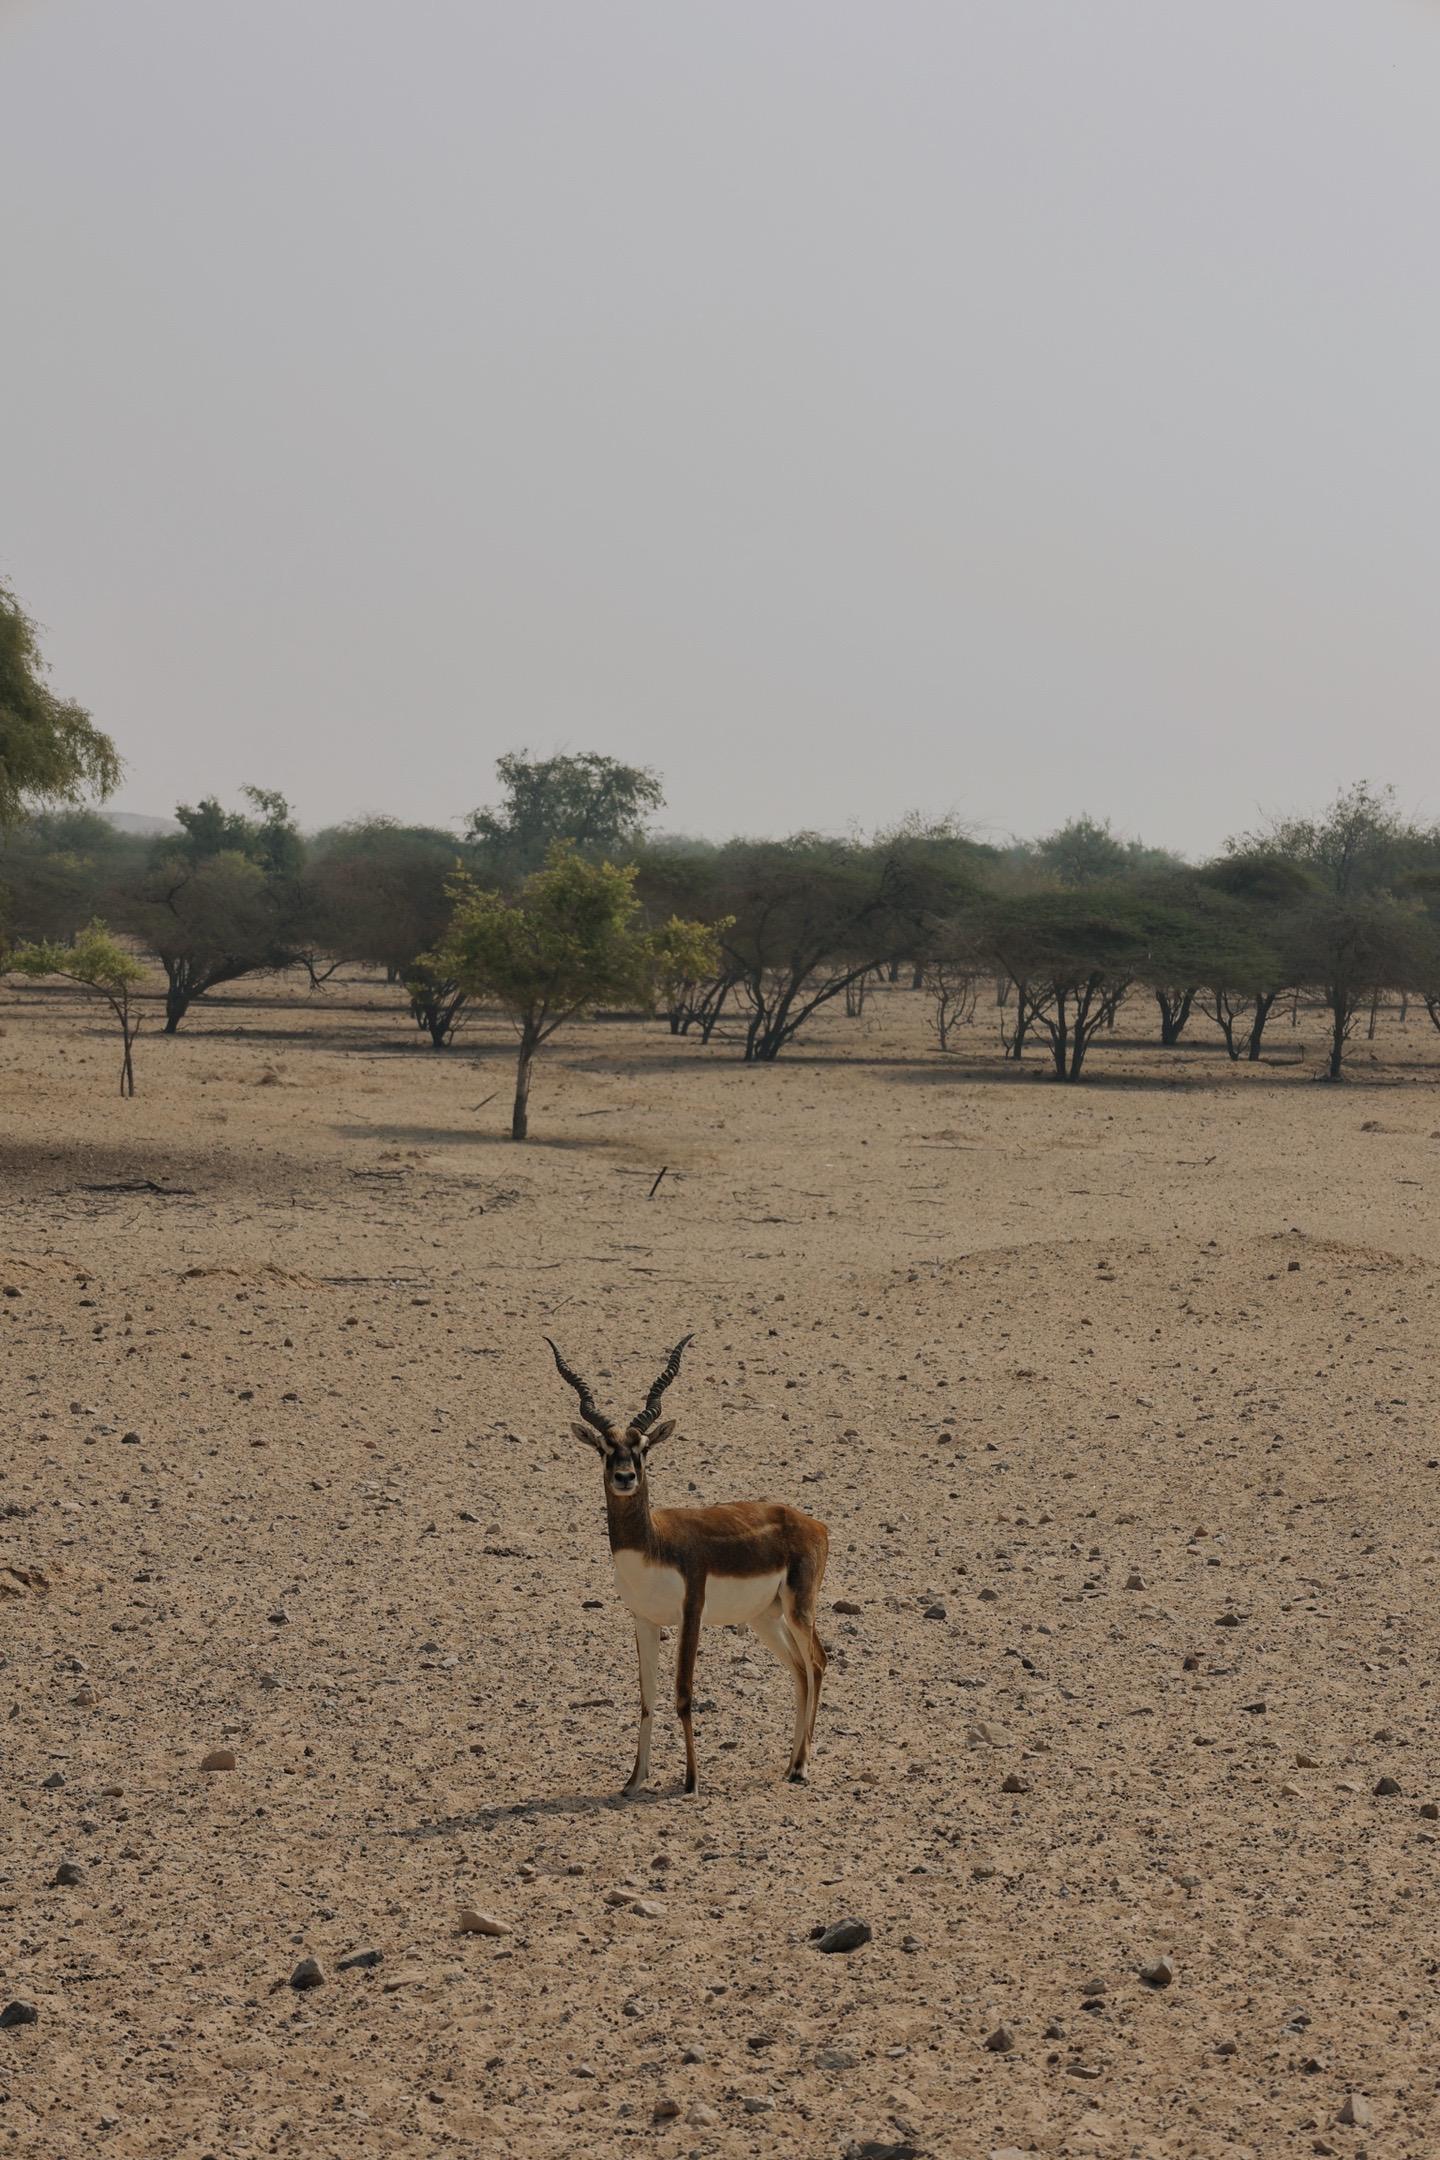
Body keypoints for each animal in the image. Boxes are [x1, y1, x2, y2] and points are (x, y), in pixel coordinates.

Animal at [546, 1339, 829, 1797]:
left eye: (642, 1448)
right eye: (605, 1449)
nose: (625, 1477)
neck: (652, 1546)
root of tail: (813, 1523)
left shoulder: (690, 1613)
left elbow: (682, 1694)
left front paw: (692, 1781)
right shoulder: (644, 1618)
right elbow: (647, 1697)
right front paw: (634, 1780)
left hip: (799, 1608)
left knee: (818, 1662)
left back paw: (802, 1767)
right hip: (765, 1619)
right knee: (800, 1669)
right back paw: (789, 1765)